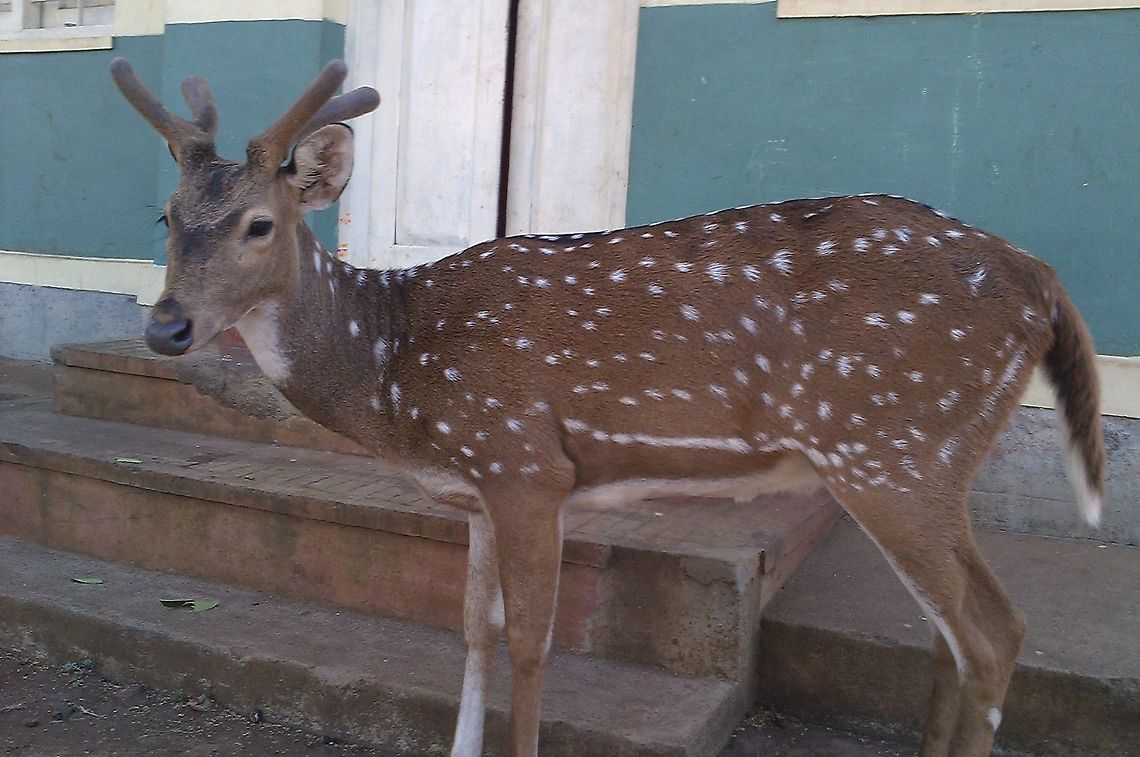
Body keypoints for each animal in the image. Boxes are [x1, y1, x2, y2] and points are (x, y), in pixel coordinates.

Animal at [109, 57, 1105, 757]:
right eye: (166, 217)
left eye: (260, 224)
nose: (166, 326)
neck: (400, 372)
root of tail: (1044, 282)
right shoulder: (478, 488)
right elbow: (471, 631)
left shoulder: (527, 464)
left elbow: (529, 643)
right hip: (929, 458)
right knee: (958, 633)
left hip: (892, 449)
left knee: (991, 635)